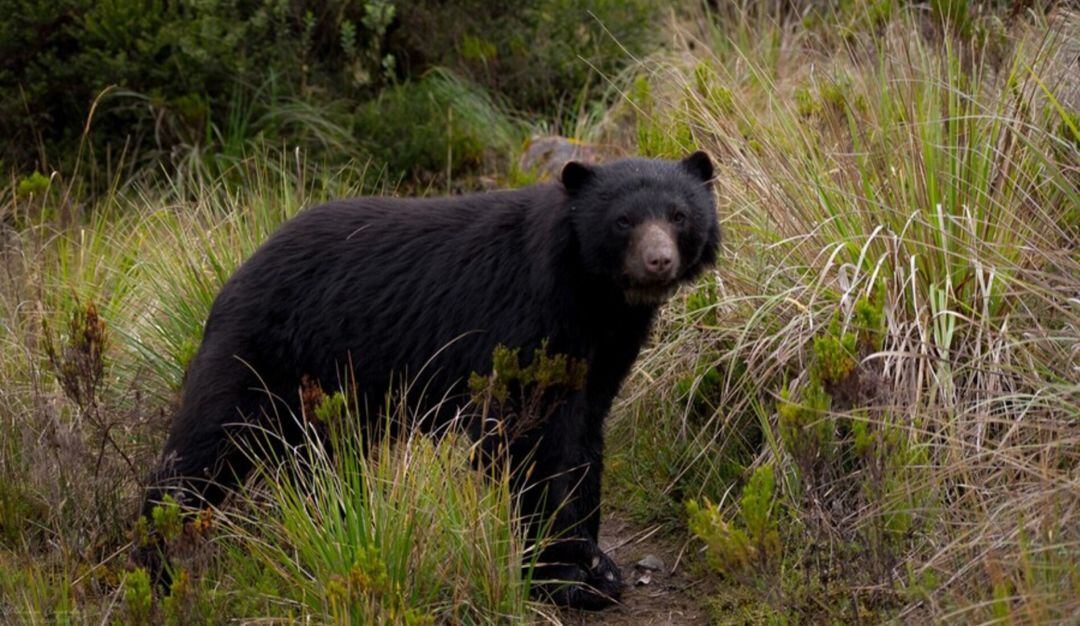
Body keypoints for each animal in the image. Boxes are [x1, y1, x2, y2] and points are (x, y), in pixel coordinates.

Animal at [139, 151, 719, 609]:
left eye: (679, 215)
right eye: (623, 221)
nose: (658, 261)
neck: (595, 297)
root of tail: (236, 275)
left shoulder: (605, 351)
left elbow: (582, 439)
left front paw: (597, 566)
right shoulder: (521, 324)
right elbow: (529, 442)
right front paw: (563, 576)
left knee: (318, 468)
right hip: (258, 357)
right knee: (201, 453)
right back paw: (156, 566)